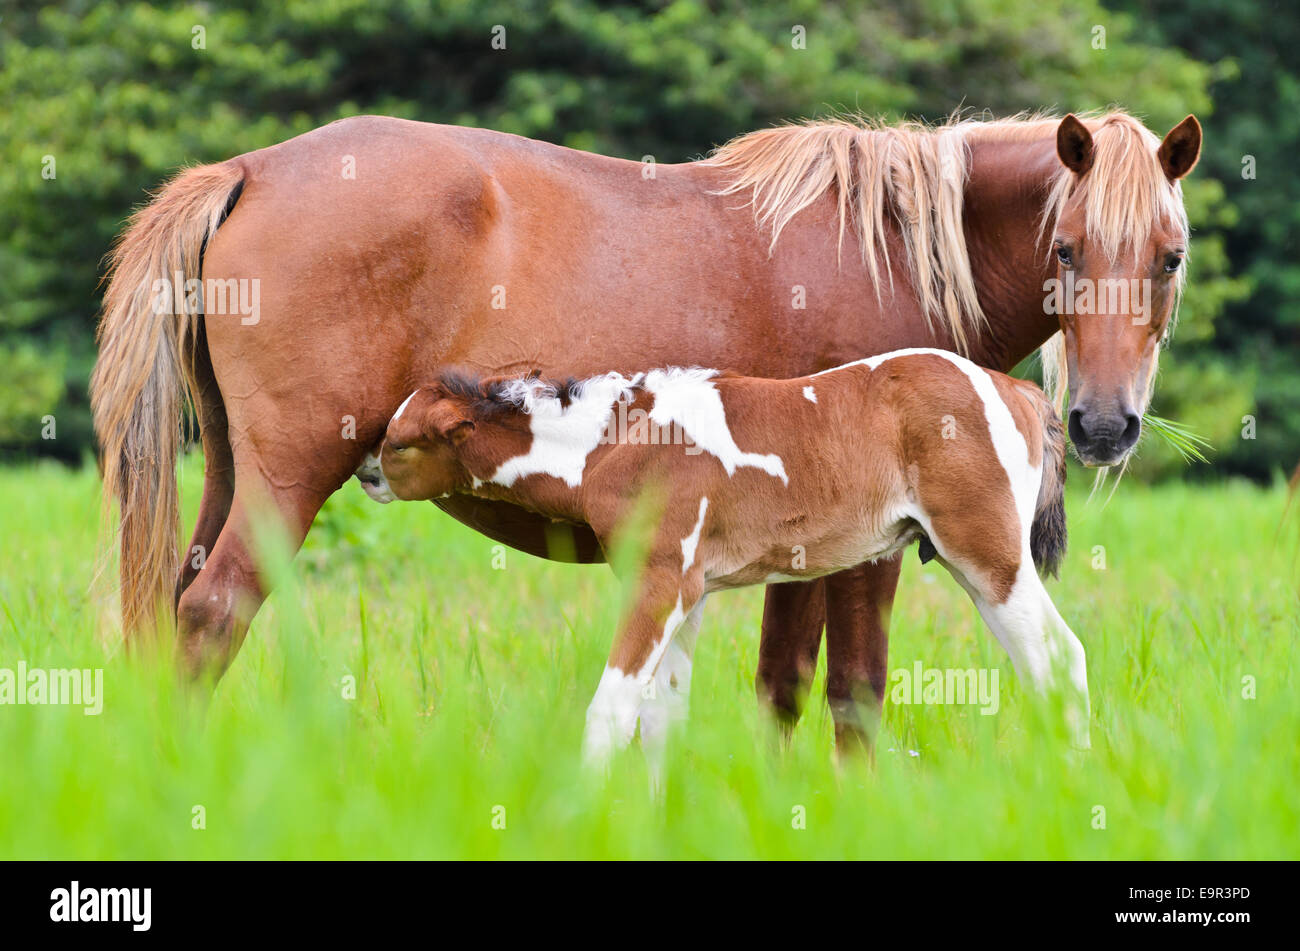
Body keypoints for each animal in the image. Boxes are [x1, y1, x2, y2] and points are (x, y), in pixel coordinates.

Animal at [358, 350, 1086, 763]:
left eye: (400, 442)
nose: (365, 472)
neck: (612, 444)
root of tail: (1017, 391)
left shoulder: (660, 584)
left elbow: (612, 710)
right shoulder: (692, 590)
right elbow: (662, 717)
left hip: (988, 554)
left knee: (1059, 655)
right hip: (972, 564)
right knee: (1044, 663)